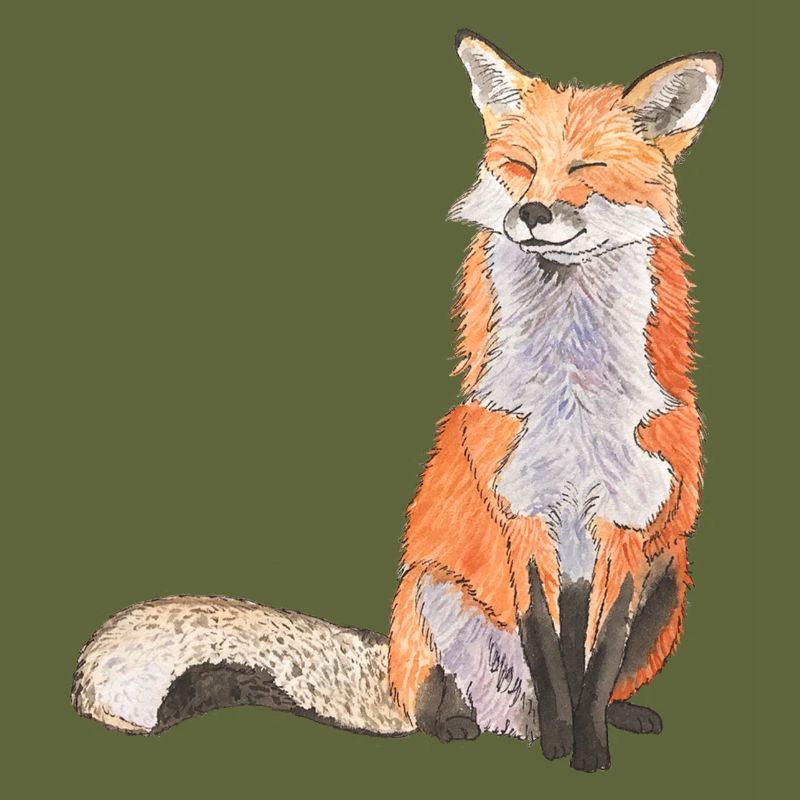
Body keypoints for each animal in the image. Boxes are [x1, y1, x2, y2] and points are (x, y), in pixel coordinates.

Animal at [71, 31, 722, 772]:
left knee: (604, 678)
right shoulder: (521, 518)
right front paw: (562, 746)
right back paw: (467, 726)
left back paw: (620, 716)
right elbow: (548, 653)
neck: (573, 397)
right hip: (430, 595)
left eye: (588, 168)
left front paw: (588, 752)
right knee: (436, 704)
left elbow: (597, 659)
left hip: (670, 582)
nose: (531, 214)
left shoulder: (628, 529)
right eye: (521, 166)